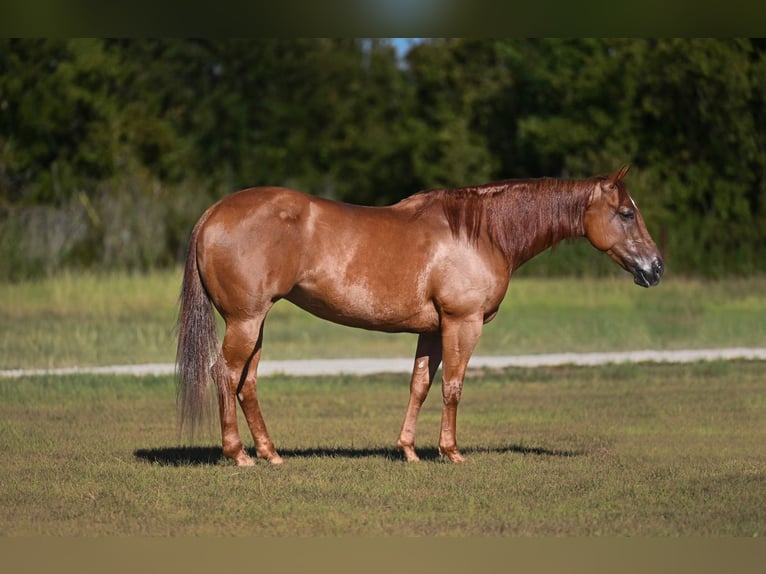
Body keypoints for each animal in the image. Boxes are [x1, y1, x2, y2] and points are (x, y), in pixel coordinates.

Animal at [176, 164, 664, 466]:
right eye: (626, 213)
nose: (656, 268)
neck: (480, 233)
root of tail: (213, 213)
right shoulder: (462, 323)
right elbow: (453, 387)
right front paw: (451, 451)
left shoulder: (432, 331)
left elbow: (420, 385)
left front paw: (408, 450)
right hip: (245, 320)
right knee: (226, 374)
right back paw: (239, 454)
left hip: (255, 323)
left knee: (247, 382)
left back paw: (271, 453)